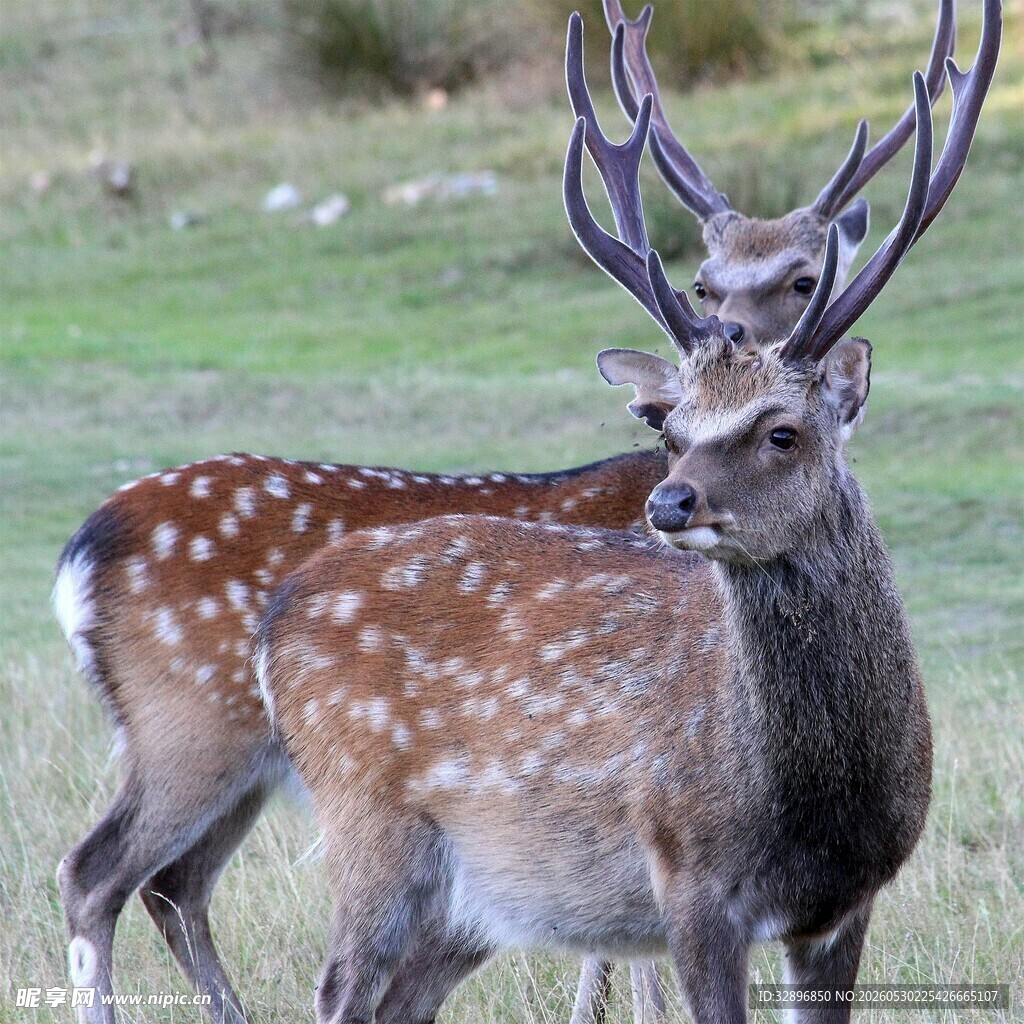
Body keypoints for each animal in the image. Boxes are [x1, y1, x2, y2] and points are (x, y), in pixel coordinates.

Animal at [49, 0, 987, 1020]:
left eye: (784, 429)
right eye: (675, 427)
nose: (670, 501)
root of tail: (81, 551)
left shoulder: (841, 904)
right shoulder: (689, 880)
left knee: (178, 890)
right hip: (223, 744)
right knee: (112, 880)